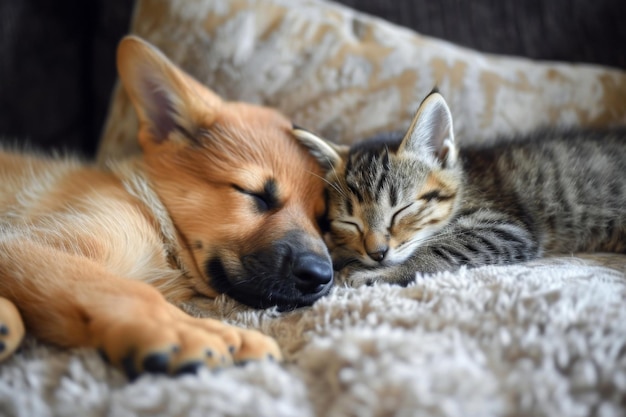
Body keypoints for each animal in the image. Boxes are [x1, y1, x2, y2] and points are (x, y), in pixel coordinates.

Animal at [0, 37, 332, 378]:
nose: (319, 276)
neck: (151, 208)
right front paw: (188, 332)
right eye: (255, 194)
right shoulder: (25, 242)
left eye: (323, 219)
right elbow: (125, 289)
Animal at [292, 91, 624, 286]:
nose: (377, 253)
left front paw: (382, 274)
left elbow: (447, 247)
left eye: (402, 210)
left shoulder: (508, 227)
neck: (466, 183)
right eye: (350, 223)